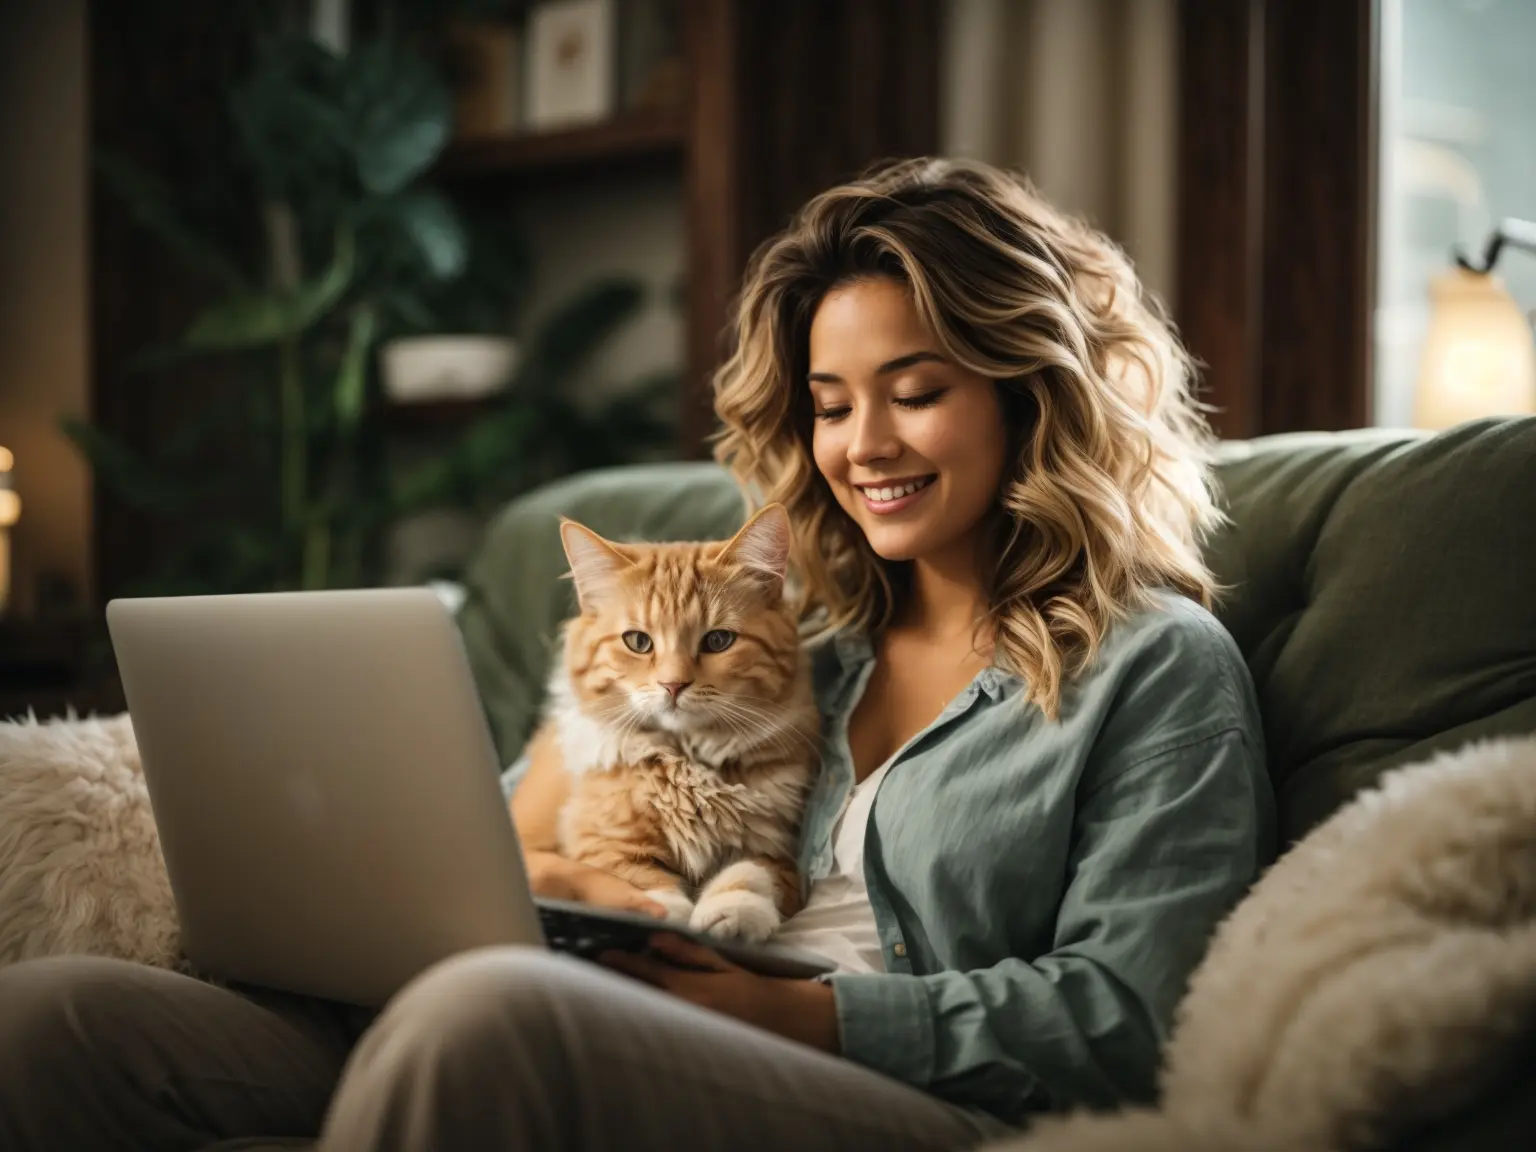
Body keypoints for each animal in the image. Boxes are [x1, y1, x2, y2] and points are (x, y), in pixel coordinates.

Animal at [537, 503, 823, 946]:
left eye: (718, 641)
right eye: (638, 642)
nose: (673, 685)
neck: (687, 763)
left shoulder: (776, 848)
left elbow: (749, 874)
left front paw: (731, 912)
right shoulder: (600, 841)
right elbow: (641, 882)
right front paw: (667, 917)